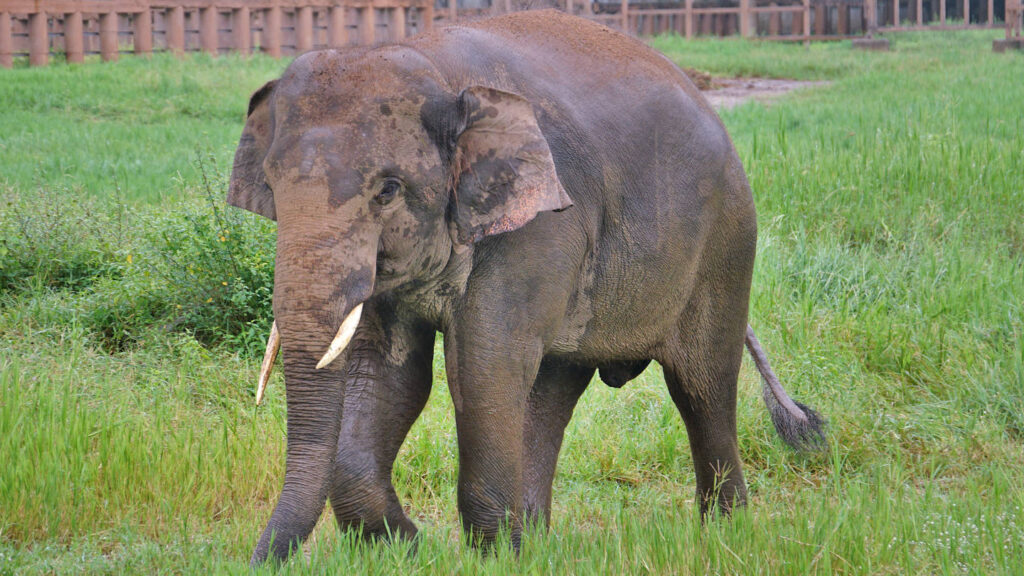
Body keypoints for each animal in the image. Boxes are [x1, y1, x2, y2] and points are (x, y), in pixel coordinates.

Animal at [226, 10, 823, 565]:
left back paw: (724, 535)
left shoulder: (540, 225)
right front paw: (410, 547)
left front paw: (484, 556)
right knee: (554, 386)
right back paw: (535, 543)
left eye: (388, 190)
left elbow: (483, 366)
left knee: (702, 384)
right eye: (272, 188)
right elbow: (389, 371)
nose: (256, 562)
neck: (435, 69)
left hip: (726, 242)